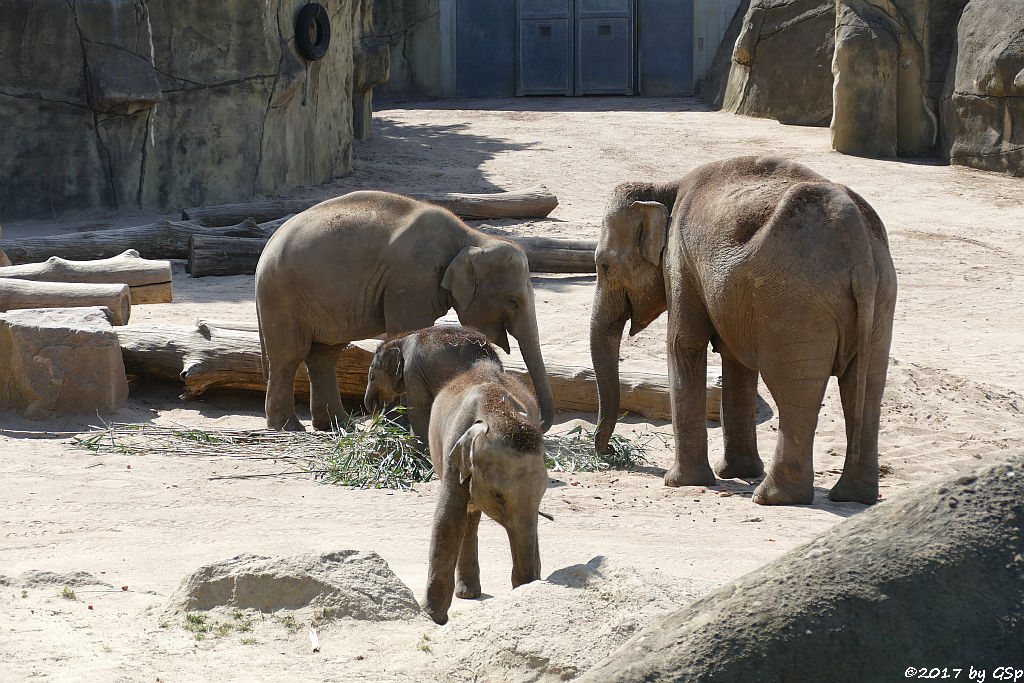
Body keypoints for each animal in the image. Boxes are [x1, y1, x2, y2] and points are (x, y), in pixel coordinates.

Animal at [256, 189, 557, 432]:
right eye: (512, 301)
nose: (536, 421)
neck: (471, 237)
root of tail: (266, 248)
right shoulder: (412, 281)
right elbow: (407, 328)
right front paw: (399, 424)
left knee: (324, 355)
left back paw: (338, 425)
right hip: (282, 296)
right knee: (290, 355)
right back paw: (289, 427)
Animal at [423, 362, 552, 626]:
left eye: (542, 496)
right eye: (498, 496)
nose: (528, 583)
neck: (496, 408)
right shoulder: (453, 453)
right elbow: (447, 518)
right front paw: (433, 618)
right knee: (466, 516)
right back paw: (467, 594)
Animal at [593, 154, 897, 507]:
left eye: (604, 266)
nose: (610, 453)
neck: (665, 187)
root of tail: (858, 243)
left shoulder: (681, 260)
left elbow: (684, 344)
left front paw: (679, 482)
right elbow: (734, 360)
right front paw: (734, 472)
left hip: (795, 304)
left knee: (795, 393)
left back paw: (772, 498)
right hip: (881, 298)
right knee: (867, 388)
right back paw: (853, 497)